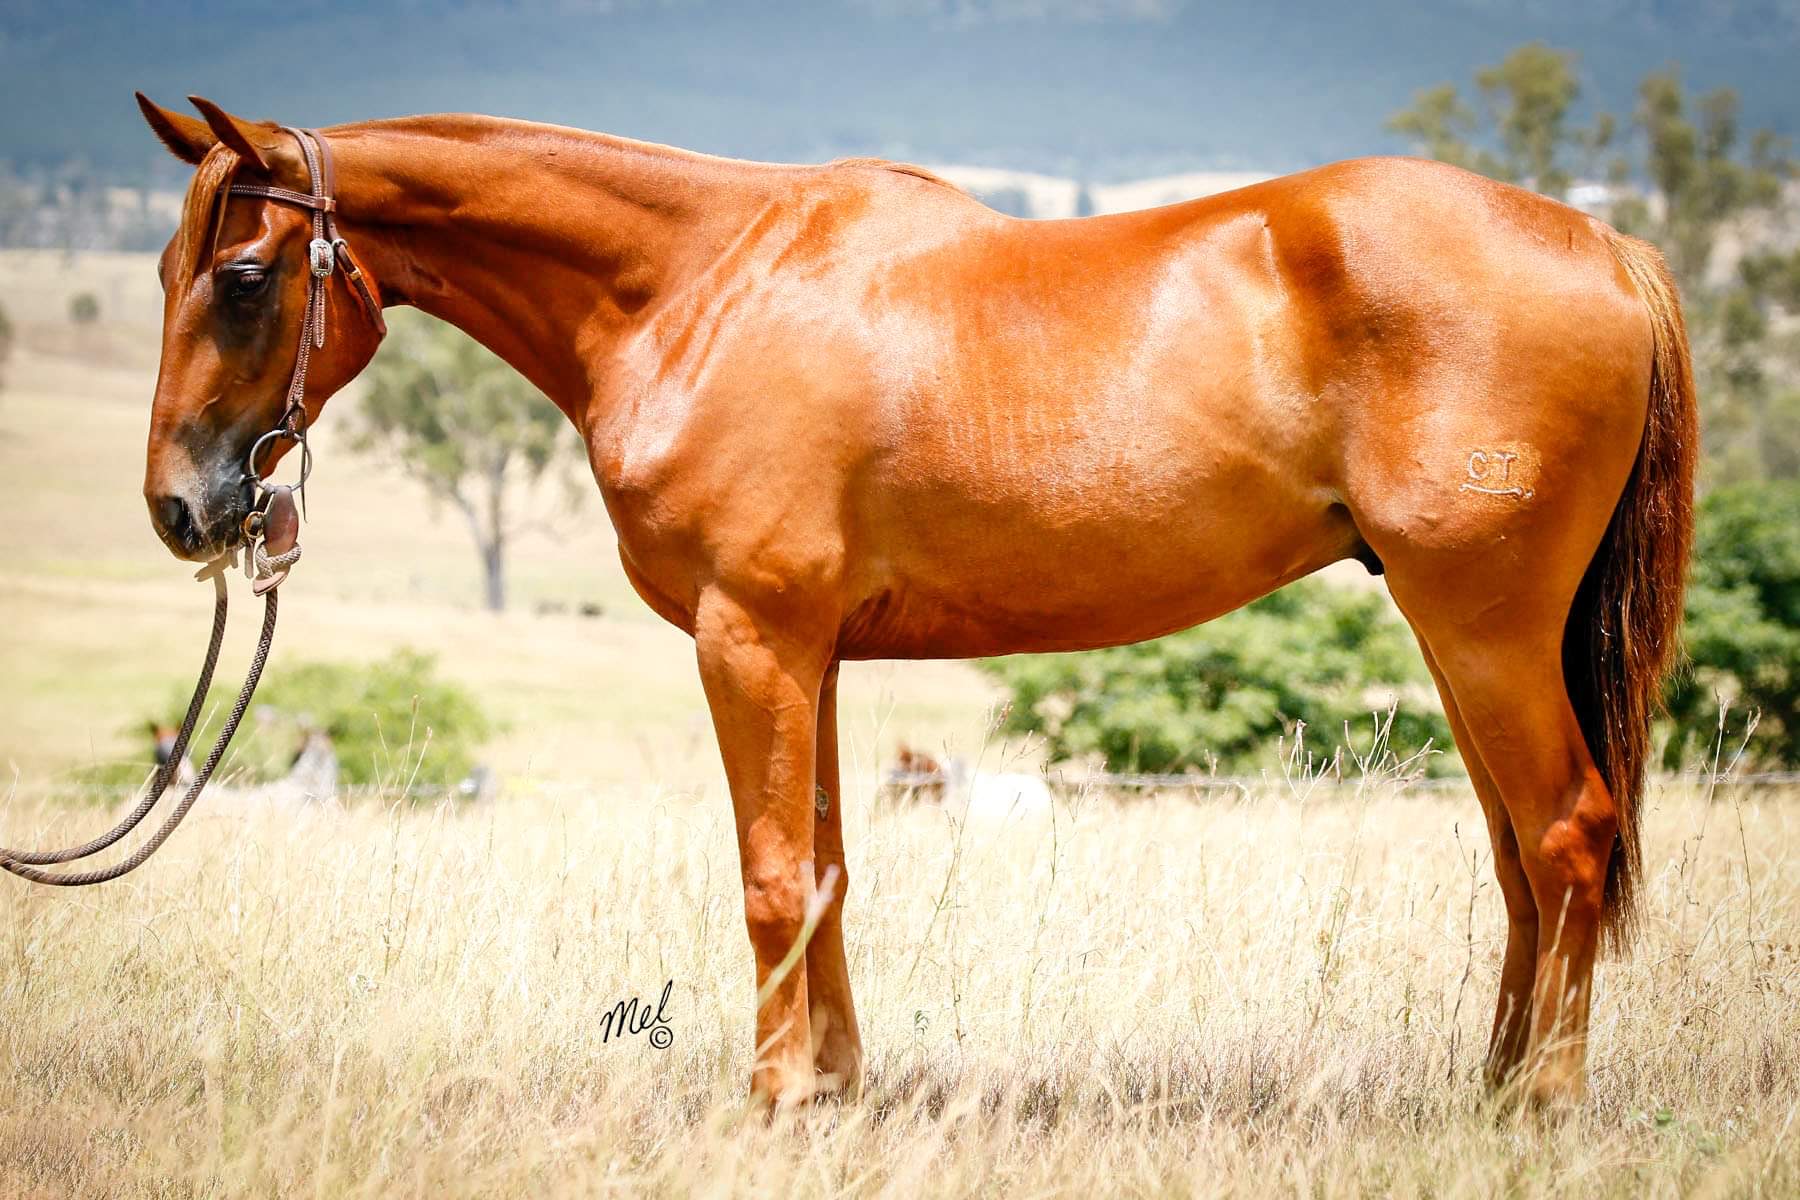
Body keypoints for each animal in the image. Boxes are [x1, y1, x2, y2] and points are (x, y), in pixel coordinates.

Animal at [132, 94, 1695, 1108]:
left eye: (246, 274)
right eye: (169, 265)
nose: (182, 508)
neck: (696, 288)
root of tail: (1607, 248)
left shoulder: (749, 638)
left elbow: (770, 879)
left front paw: (770, 1105)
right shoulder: (810, 653)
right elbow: (824, 870)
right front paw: (833, 1090)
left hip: (1485, 627)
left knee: (1566, 835)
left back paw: (1543, 1110)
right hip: (1469, 636)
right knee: (1520, 858)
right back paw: (1493, 1089)